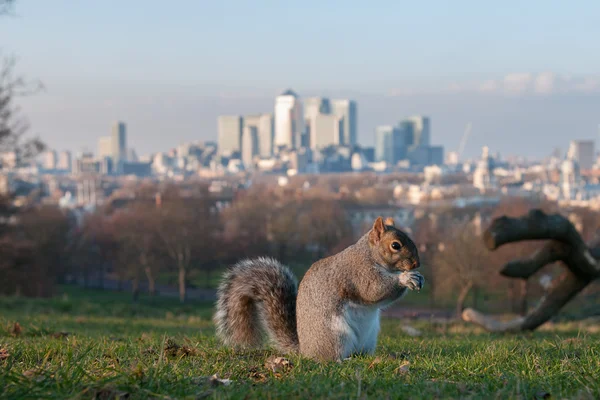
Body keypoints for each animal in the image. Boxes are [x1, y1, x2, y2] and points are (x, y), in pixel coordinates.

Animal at [213, 217, 424, 360]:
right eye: (395, 245)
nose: (416, 264)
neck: (369, 254)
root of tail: (305, 350)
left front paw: (417, 277)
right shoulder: (358, 272)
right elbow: (373, 290)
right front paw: (405, 278)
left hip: (369, 337)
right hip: (335, 335)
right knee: (329, 358)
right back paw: (343, 360)